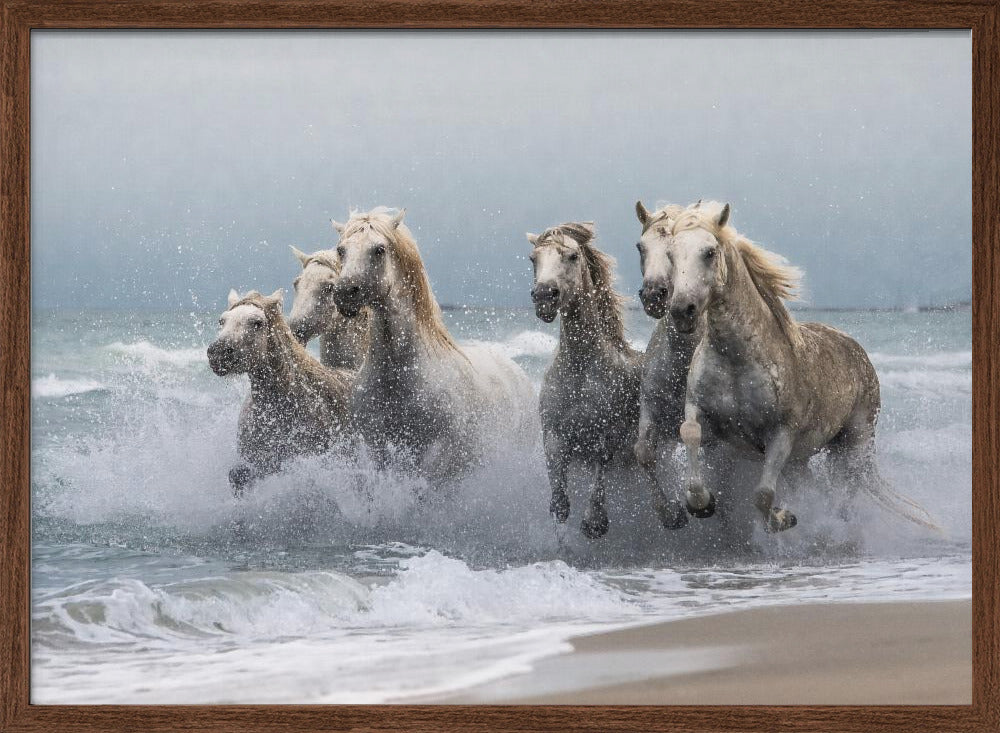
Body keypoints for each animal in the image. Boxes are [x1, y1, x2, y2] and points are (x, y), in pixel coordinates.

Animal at [330, 207, 536, 482]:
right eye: (341, 250)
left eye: (379, 249)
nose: (344, 294)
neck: (399, 374)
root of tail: (517, 372)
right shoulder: (378, 449)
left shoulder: (439, 453)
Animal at [528, 222, 644, 538]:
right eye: (533, 259)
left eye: (572, 256)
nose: (544, 296)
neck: (580, 369)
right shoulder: (553, 434)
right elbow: (560, 499)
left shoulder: (606, 435)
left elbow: (600, 468)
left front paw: (595, 522)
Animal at [661, 201, 938, 533]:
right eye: (670, 255)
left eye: (709, 252)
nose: (682, 311)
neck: (736, 359)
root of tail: (857, 350)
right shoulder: (699, 409)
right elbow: (690, 432)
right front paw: (701, 503)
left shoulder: (781, 435)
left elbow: (763, 495)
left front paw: (784, 519)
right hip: (802, 460)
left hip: (853, 445)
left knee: (847, 489)